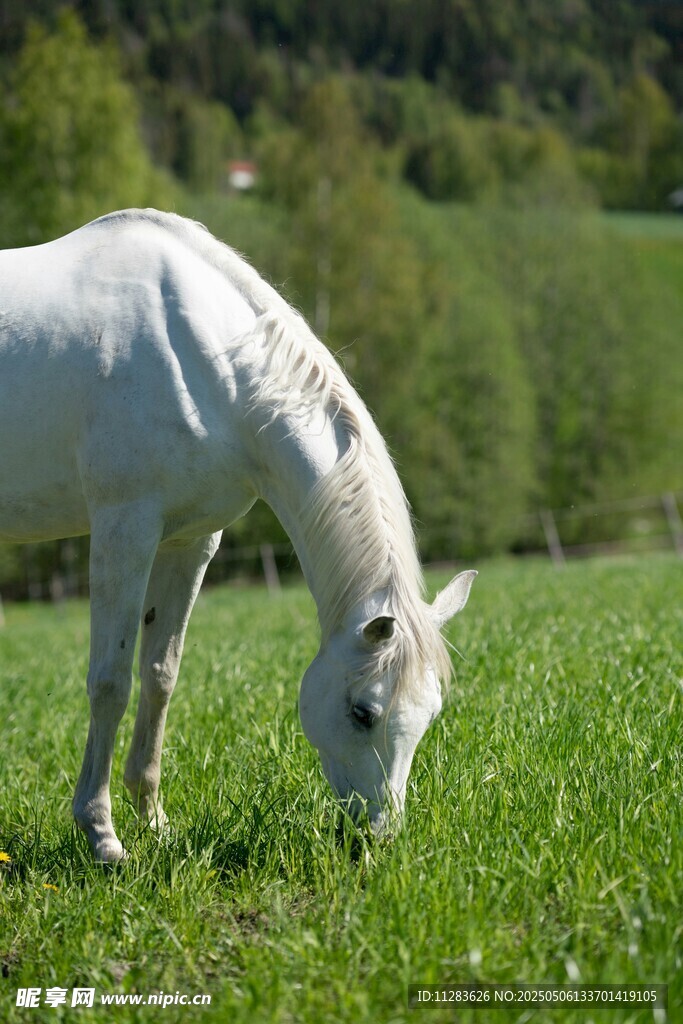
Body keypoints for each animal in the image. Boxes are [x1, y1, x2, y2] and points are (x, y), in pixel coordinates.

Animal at [0, 210, 476, 861]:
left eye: (429, 715)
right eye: (363, 712)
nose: (377, 838)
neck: (206, 364)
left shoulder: (190, 542)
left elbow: (159, 676)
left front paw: (153, 820)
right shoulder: (125, 529)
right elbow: (110, 682)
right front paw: (102, 835)